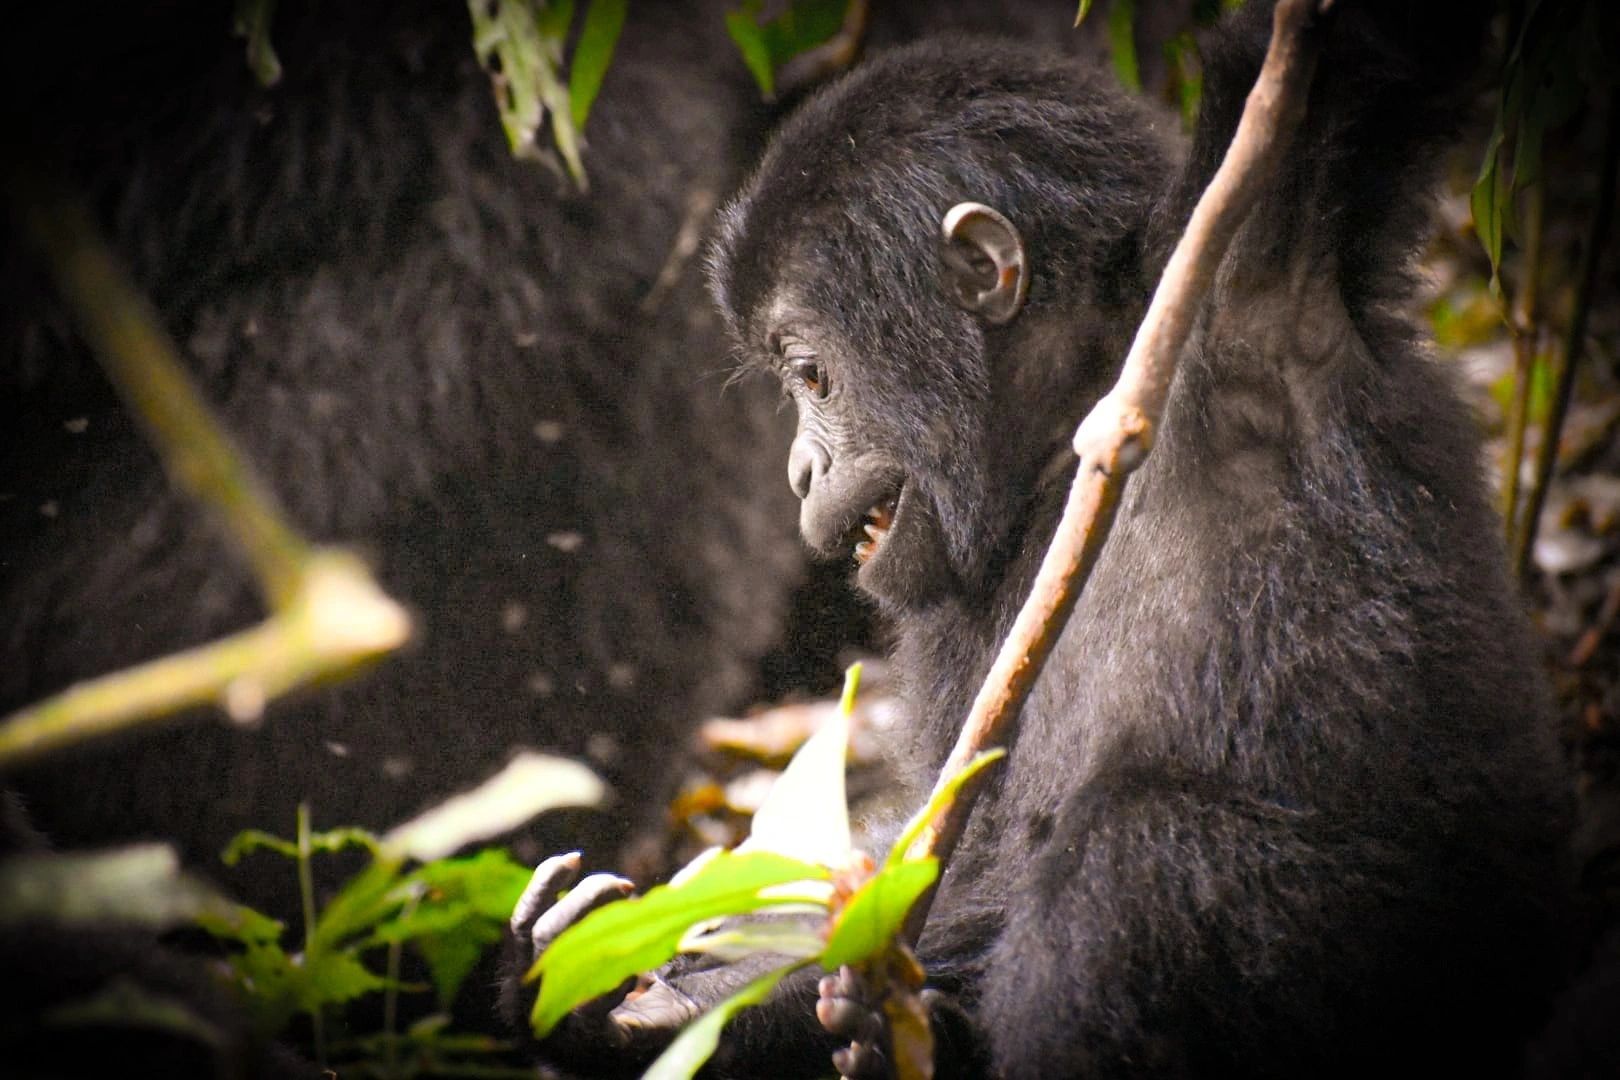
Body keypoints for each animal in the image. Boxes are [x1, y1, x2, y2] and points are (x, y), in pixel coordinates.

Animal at [506, 3, 1574, 1077]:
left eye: (809, 374)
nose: (801, 469)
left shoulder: (1266, 276)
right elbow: (943, 847)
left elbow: (1354, 75)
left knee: (1139, 855)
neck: (1078, 437)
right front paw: (627, 996)